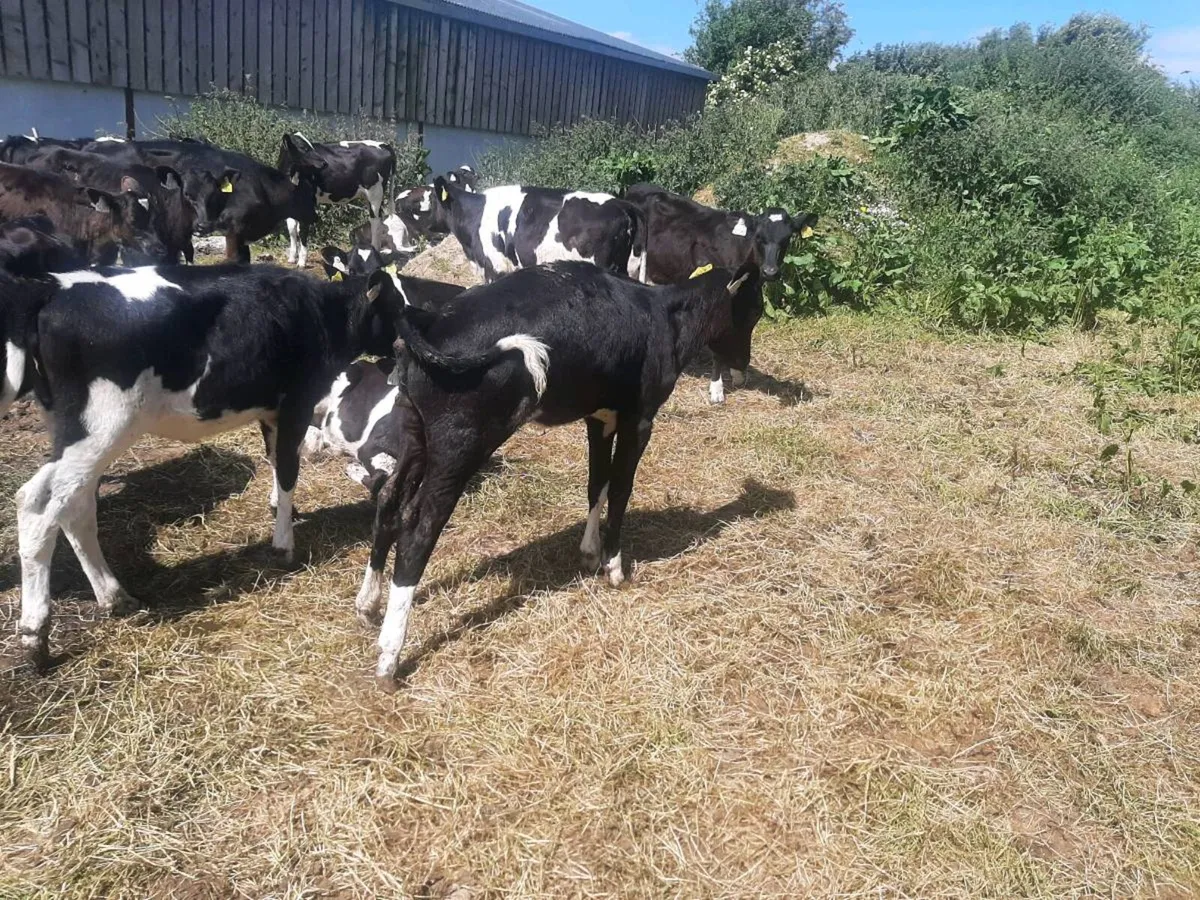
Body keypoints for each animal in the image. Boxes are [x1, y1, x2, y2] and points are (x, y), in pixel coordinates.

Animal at [7, 262, 429, 671]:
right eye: (397, 307)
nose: (407, 350)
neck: (322, 313)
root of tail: (53, 289)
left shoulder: (270, 409)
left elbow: (275, 459)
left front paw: (280, 510)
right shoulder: (296, 400)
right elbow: (288, 467)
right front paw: (284, 543)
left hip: (75, 431)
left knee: (74, 505)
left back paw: (115, 597)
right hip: (102, 426)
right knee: (38, 502)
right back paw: (35, 636)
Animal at [277, 134, 396, 263]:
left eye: (309, 146)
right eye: (303, 147)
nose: (324, 163)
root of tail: (383, 144)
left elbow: (302, 230)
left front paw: (302, 261)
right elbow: (292, 229)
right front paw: (292, 258)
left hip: (375, 193)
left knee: (376, 222)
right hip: (369, 196)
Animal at [354, 259, 751, 686]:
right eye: (751, 308)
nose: (744, 363)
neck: (664, 314)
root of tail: (428, 320)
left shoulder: (601, 416)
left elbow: (597, 483)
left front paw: (590, 553)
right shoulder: (640, 419)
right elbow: (621, 489)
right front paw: (614, 567)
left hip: (414, 429)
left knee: (389, 498)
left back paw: (368, 602)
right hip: (460, 442)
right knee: (419, 528)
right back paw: (390, 653)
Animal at [623, 184, 817, 403]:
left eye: (786, 239)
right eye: (759, 238)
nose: (770, 271)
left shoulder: (751, 306)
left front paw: (738, 371)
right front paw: (717, 389)